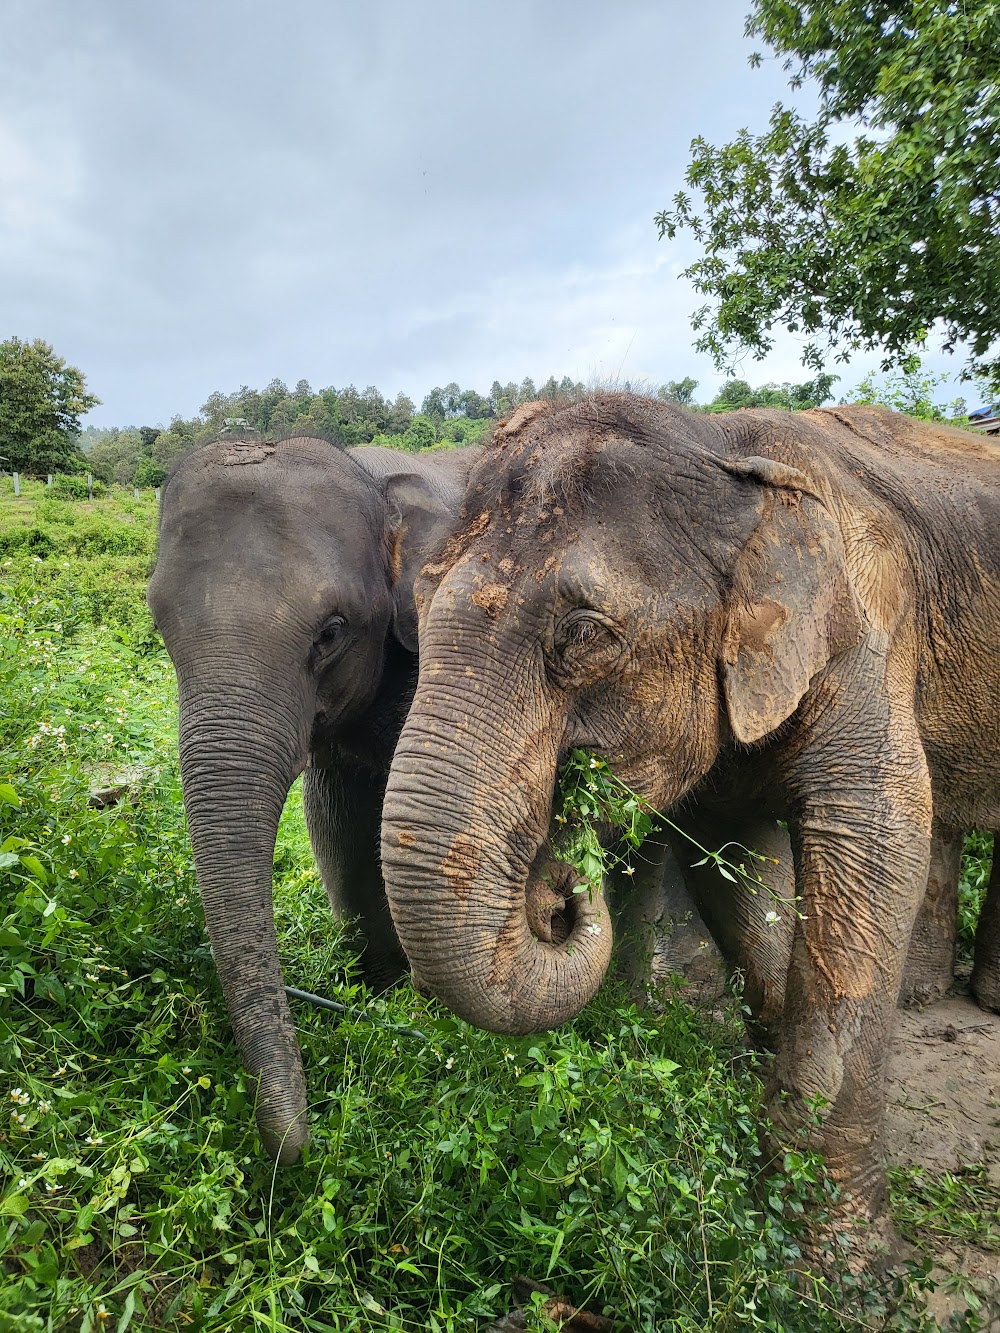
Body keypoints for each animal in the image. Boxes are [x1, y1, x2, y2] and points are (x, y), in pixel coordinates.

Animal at [144, 431, 482, 1162]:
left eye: (331, 632)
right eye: (159, 624)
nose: (298, 1147)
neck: (376, 480)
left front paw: (430, 1013)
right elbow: (338, 822)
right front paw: (374, 991)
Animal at [381, 394, 1000, 1269]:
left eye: (585, 633)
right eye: (420, 610)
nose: (559, 889)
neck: (722, 445)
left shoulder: (872, 629)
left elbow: (879, 842)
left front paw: (837, 1269)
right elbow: (735, 862)